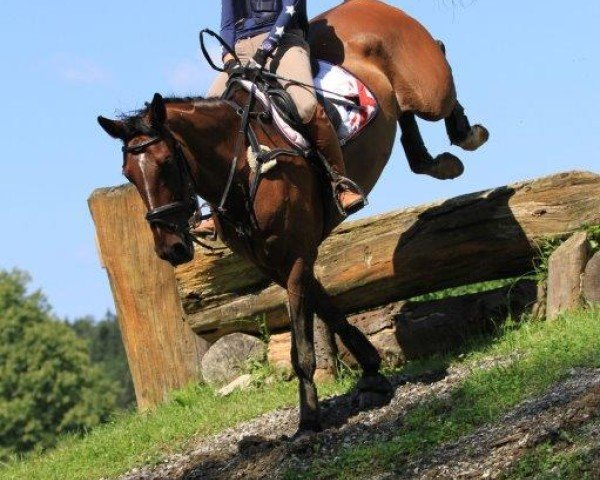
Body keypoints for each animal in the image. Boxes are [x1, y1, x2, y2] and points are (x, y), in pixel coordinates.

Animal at [97, 0, 488, 436]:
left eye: (166, 165)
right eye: (129, 176)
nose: (170, 249)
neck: (245, 166)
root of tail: (372, 6)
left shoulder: (297, 255)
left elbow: (303, 347)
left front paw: (309, 421)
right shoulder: (276, 262)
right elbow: (329, 310)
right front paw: (372, 375)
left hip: (427, 88)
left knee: (439, 76)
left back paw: (467, 133)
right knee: (407, 123)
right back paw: (437, 162)